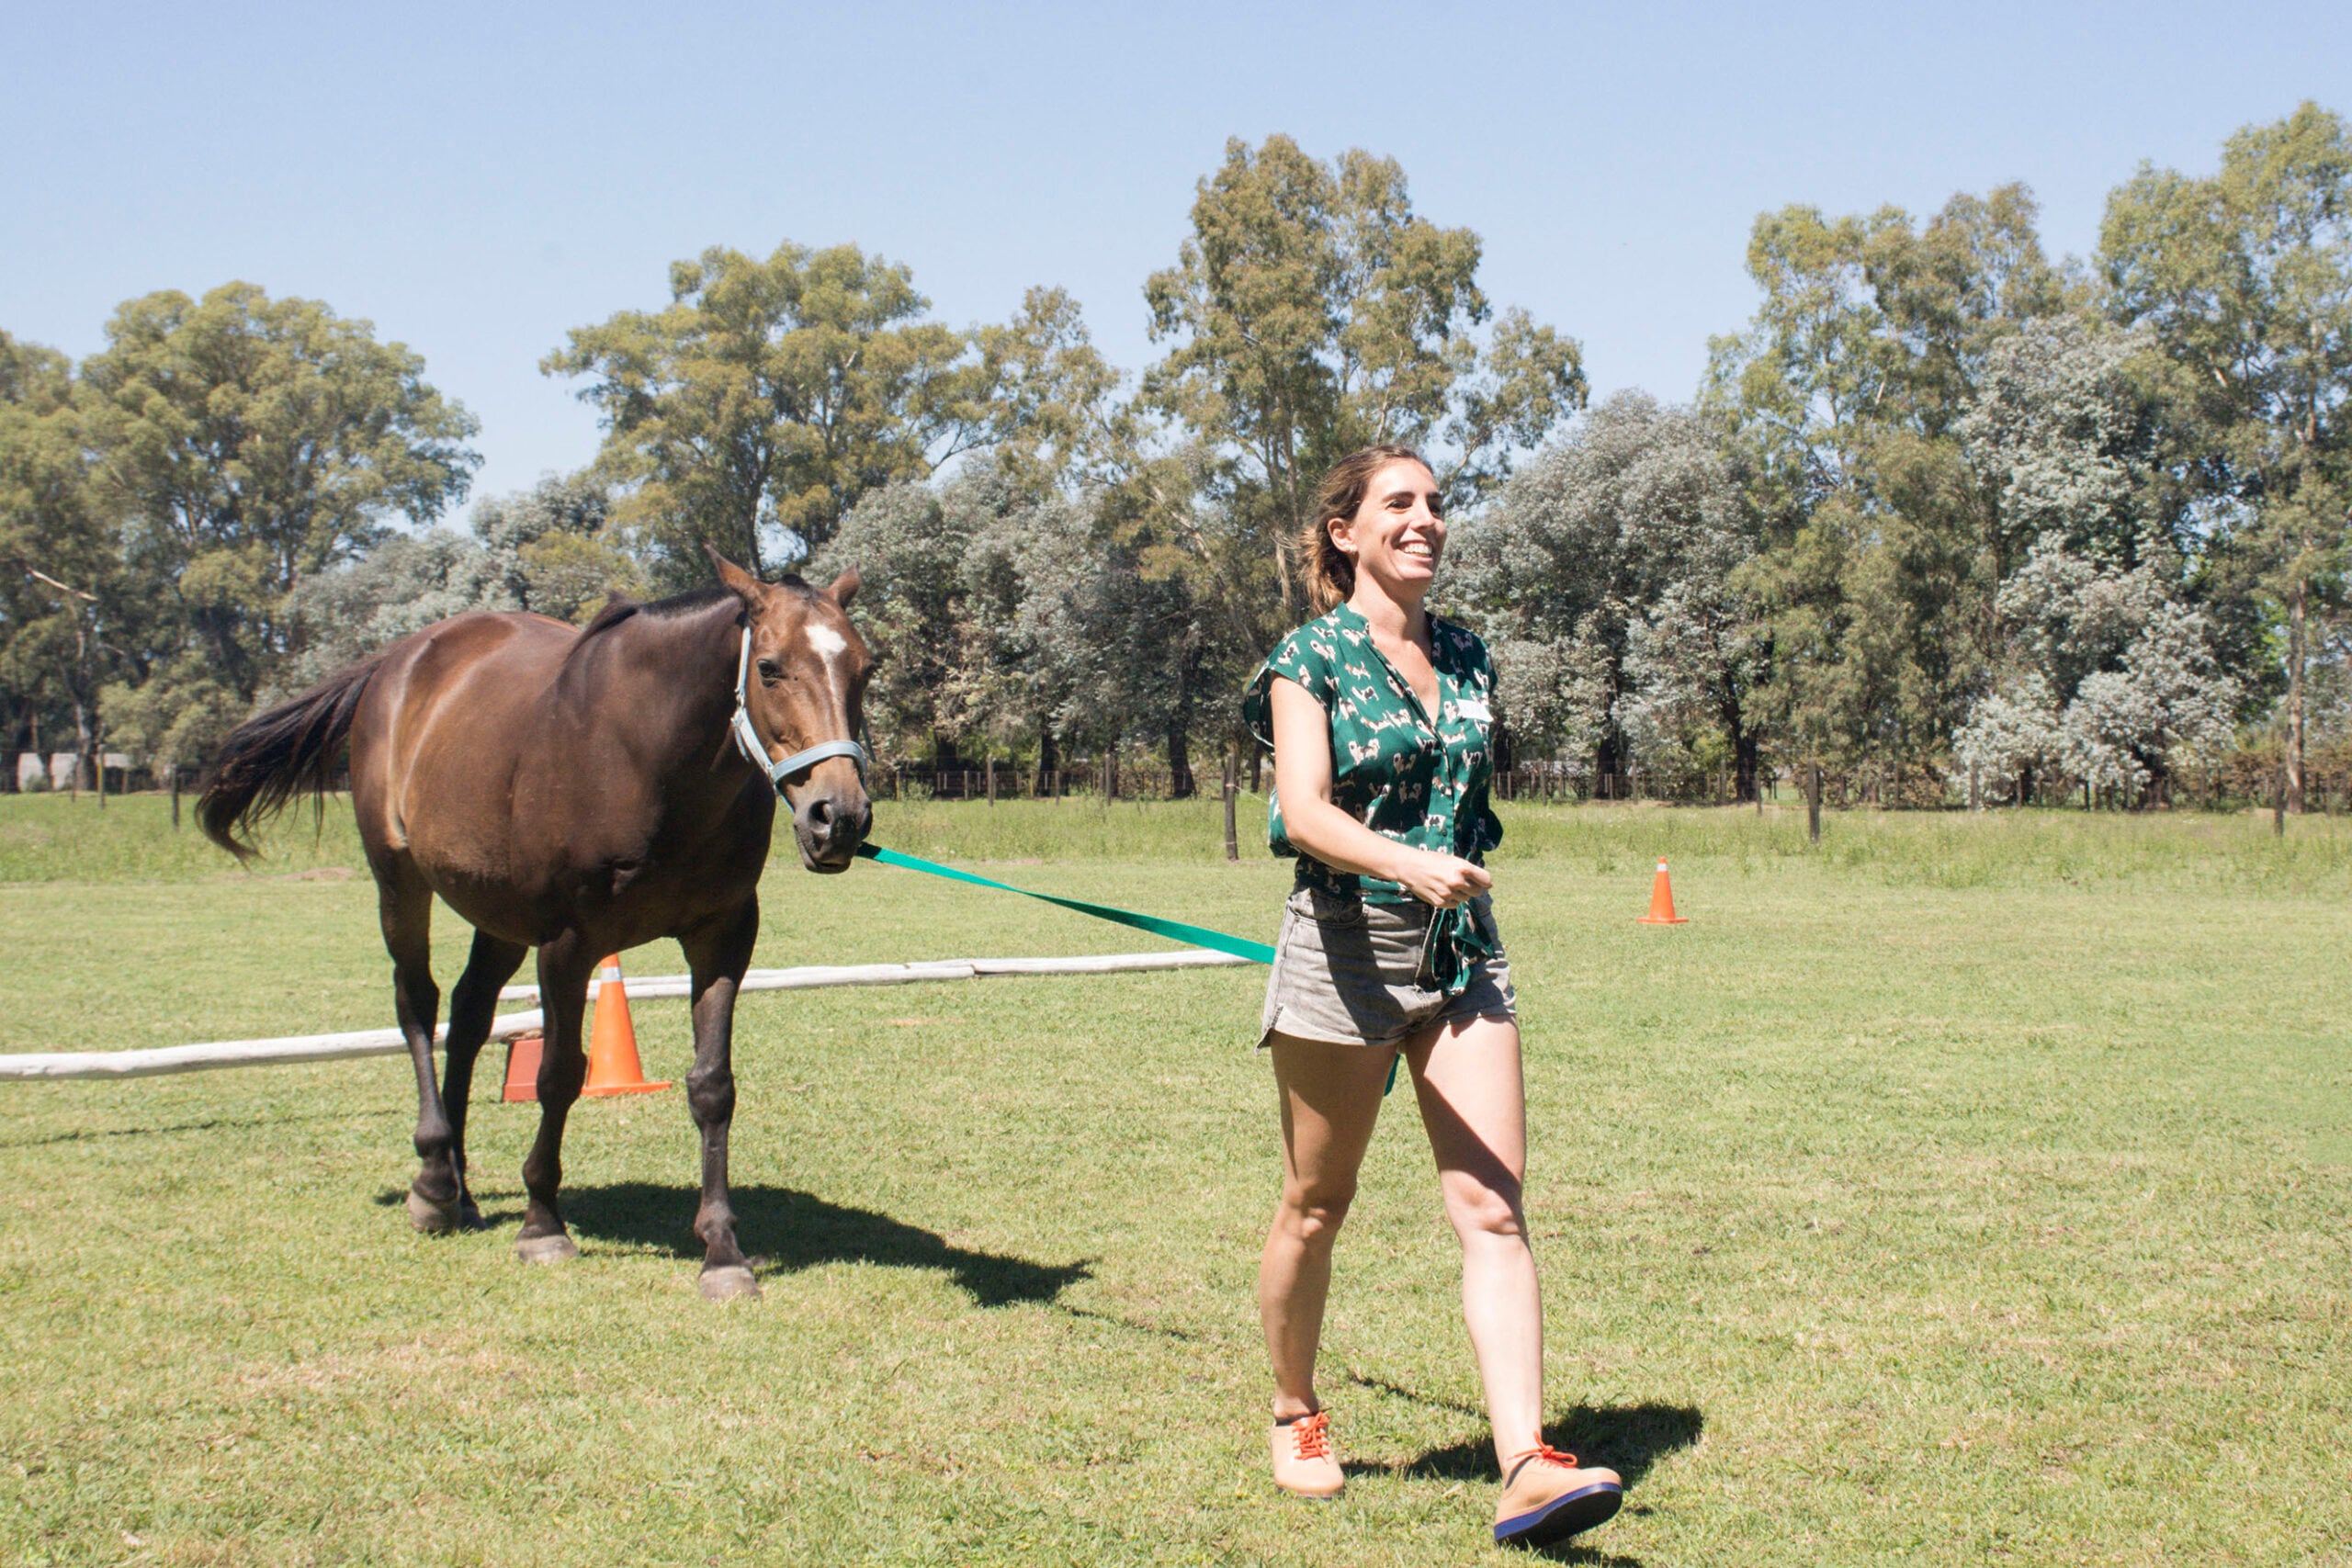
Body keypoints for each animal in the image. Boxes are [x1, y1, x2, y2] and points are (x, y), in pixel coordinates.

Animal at [199, 552, 875, 1297]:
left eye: (866, 668)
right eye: (771, 668)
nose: (838, 817)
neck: (649, 760)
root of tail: (396, 662)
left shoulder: (722, 936)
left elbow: (712, 1086)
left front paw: (722, 1250)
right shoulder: (566, 944)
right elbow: (558, 1075)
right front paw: (542, 1224)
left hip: (495, 913)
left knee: (468, 1016)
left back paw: (460, 1189)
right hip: (400, 882)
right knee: (418, 1005)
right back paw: (432, 1183)